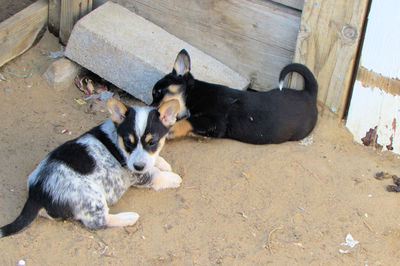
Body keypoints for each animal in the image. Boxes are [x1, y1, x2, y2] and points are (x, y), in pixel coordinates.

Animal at [0, 97, 181, 237]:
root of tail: (36, 195)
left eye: (152, 142)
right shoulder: (137, 174)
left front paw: (163, 162)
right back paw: (129, 217)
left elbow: (155, 160)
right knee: (99, 222)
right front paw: (174, 178)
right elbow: (155, 174)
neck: (116, 137)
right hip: (92, 198)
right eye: (128, 142)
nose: (138, 166)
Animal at [151, 48, 318, 144]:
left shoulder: (215, 121)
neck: (193, 94)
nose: (151, 111)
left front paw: (170, 130)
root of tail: (309, 93)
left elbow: (187, 121)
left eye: (158, 92)